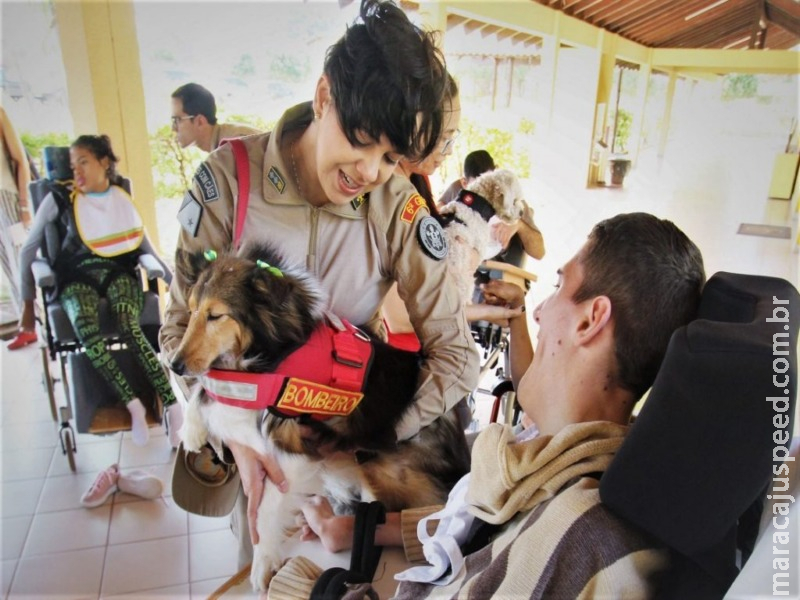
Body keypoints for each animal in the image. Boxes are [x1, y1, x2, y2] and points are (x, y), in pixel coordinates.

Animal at [170, 243, 468, 592]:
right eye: (191, 310)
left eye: (216, 315)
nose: (174, 366)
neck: (281, 348)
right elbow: (208, 388)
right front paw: (192, 430)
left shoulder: (294, 444)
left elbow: (266, 507)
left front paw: (263, 561)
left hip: (378, 461)